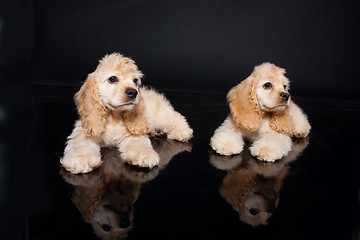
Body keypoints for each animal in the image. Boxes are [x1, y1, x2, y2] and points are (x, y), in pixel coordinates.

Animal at [61, 52, 194, 173]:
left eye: (135, 80)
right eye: (112, 78)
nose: (133, 92)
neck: (113, 116)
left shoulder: (133, 132)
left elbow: (138, 142)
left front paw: (143, 155)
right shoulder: (84, 129)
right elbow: (81, 143)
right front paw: (80, 159)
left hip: (161, 115)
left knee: (176, 117)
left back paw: (183, 132)